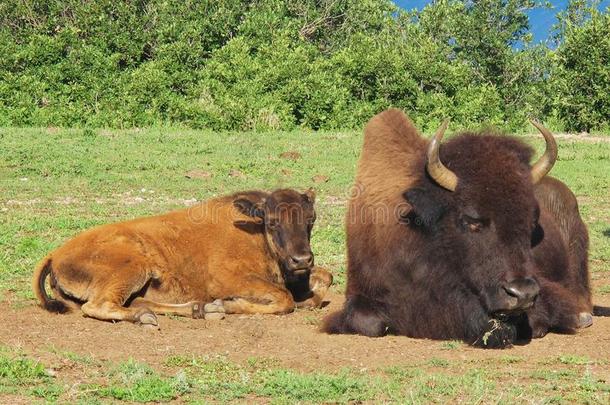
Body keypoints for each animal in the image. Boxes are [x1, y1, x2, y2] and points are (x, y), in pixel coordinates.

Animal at [33, 188, 332, 326]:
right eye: (272, 222)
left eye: (311, 219)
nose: (301, 260)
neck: (254, 232)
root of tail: (55, 254)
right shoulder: (225, 280)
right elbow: (284, 299)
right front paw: (225, 305)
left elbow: (326, 278)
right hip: (135, 268)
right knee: (98, 305)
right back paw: (146, 318)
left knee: (138, 301)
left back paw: (196, 309)